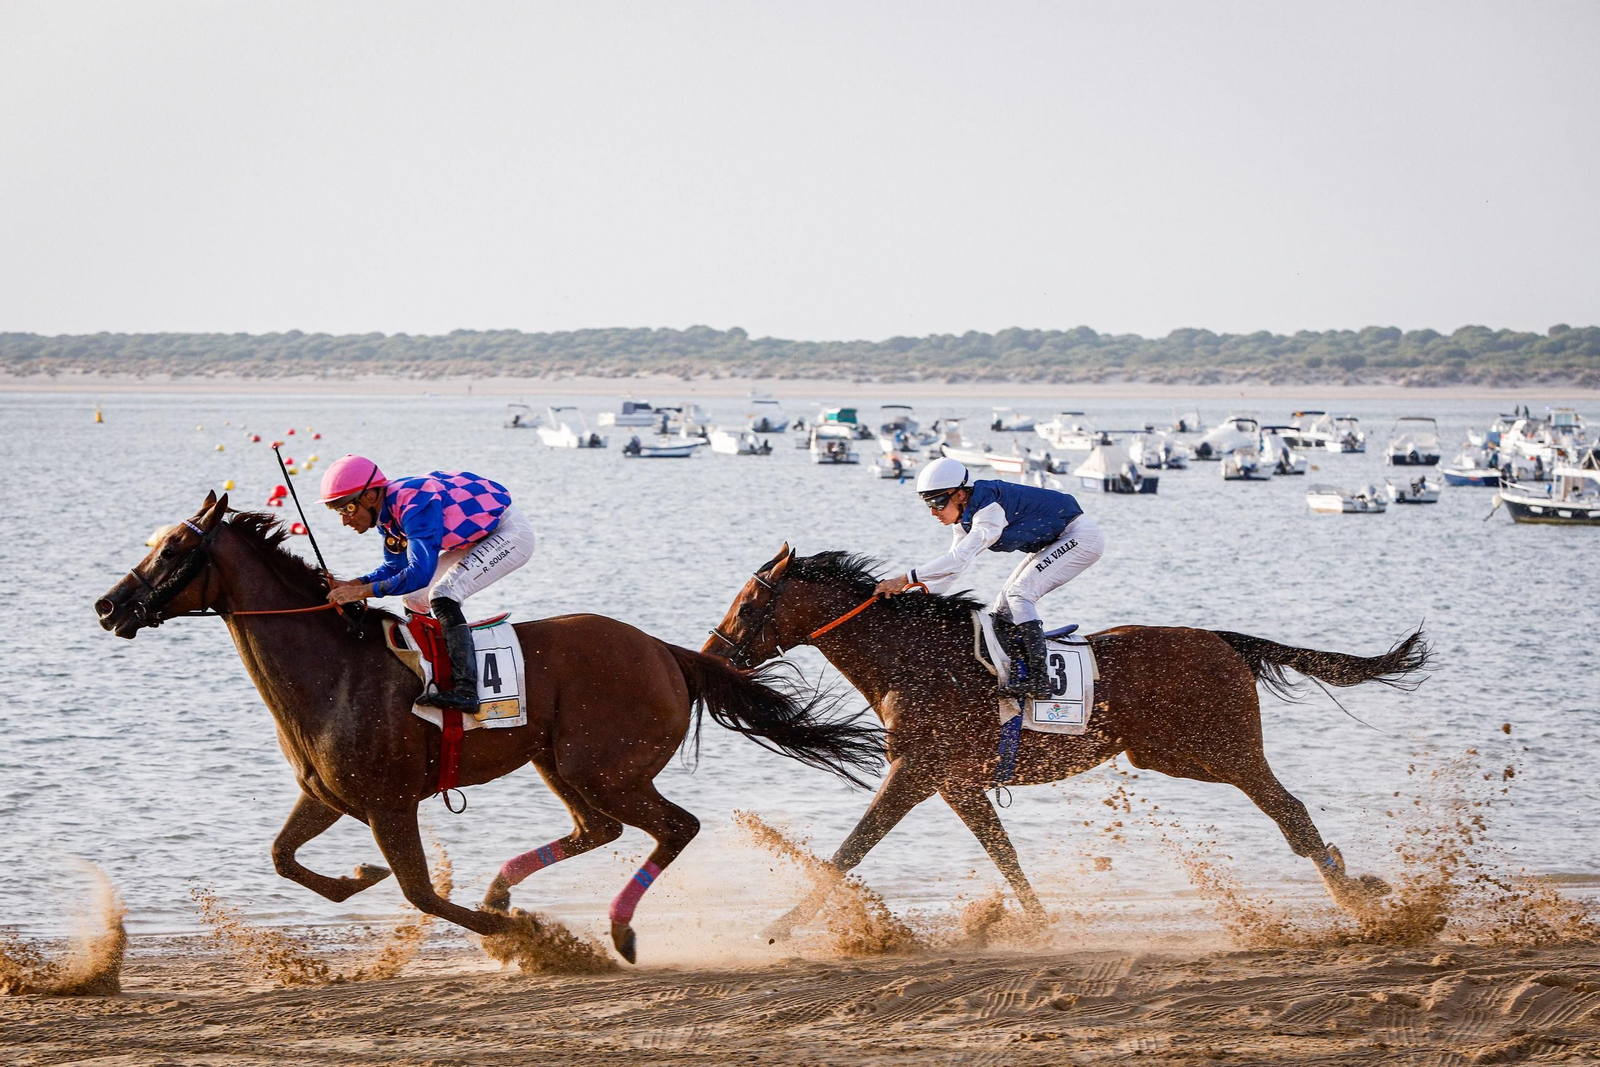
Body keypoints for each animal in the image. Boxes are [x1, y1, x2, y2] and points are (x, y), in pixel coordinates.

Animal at [95, 494, 882, 962]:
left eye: (174, 550)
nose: (107, 605)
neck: (334, 667)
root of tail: (666, 651)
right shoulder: (327, 796)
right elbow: (283, 857)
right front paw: (358, 876)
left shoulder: (388, 803)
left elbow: (418, 892)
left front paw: (521, 935)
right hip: (558, 761)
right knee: (600, 829)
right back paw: (506, 889)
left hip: (606, 767)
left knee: (674, 827)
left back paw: (614, 927)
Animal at [704, 545, 1432, 938]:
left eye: (748, 605)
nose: (712, 657)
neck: (914, 659)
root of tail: (1222, 641)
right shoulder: (956, 781)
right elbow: (1005, 855)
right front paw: (1037, 924)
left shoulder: (916, 772)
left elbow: (849, 851)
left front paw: (777, 927)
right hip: (1171, 754)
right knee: (1287, 811)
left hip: (1224, 750)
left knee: (1291, 811)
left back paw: (1355, 895)